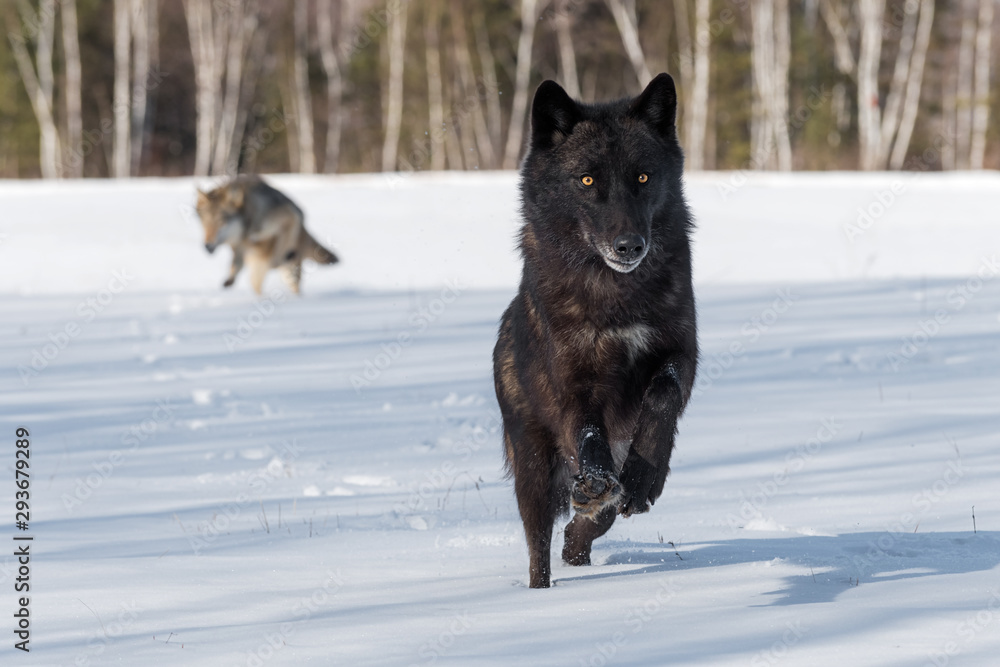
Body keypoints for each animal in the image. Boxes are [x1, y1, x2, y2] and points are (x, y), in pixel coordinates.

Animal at [196, 176, 338, 294]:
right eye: (205, 223)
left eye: (221, 222)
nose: (207, 246)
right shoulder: (238, 245)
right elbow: (235, 264)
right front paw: (229, 280)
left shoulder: (289, 218)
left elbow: (280, 249)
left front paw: (276, 260)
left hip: (288, 268)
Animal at [493, 74, 698, 588]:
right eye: (587, 180)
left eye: (643, 178)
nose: (629, 246)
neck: (615, 295)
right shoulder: (574, 381)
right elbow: (587, 433)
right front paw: (599, 482)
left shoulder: (681, 352)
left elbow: (663, 394)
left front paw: (644, 478)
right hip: (532, 467)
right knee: (540, 545)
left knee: (591, 523)